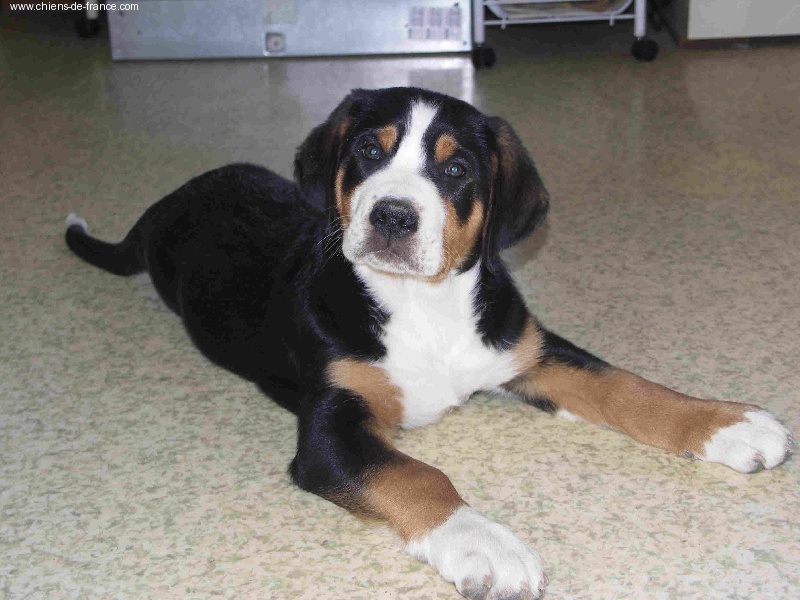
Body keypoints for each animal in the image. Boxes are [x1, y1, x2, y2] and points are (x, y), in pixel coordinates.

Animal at [65, 88, 792, 600]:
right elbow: (418, 475)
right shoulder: (330, 430)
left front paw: (726, 423)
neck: (423, 306)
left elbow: (624, 384)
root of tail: (173, 198)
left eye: (458, 168)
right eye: (367, 151)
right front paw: (485, 544)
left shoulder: (527, 347)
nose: (393, 215)